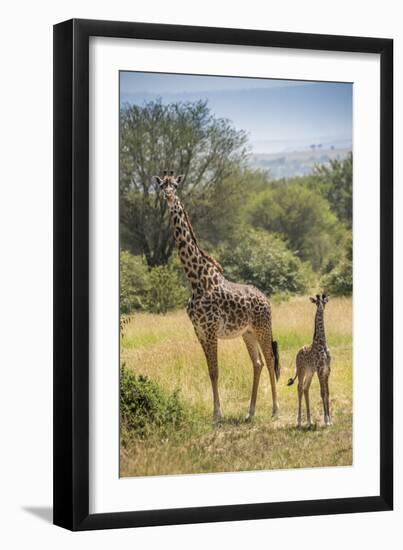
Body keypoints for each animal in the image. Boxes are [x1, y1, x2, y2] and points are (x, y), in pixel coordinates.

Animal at [155, 170, 280, 424]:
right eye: (162, 186)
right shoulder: (199, 331)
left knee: (271, 359)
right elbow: (210, 372)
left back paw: (274, 409)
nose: (169, 196)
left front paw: (217, 415)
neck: (196, 280)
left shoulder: (211, 329)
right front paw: (217, 413)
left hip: (263, 327)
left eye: (175, 186)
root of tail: (266, 299)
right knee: (258, 363)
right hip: (247, 333)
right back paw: (250, 412)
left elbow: (215, 371)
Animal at [288, 296, 332, 430]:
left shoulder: (327, 370)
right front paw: (326, 420)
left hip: (309, 372)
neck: (322, 343)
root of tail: (297, 353)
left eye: (324, 302)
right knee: (299, 387)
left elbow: (327, 392)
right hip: (301, 370)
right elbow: (322, 392)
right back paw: (298, 421)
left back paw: (309, 420)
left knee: (305, 388)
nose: (321, 308)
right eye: (317, 303)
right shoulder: (320, 369)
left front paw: (330, 420)